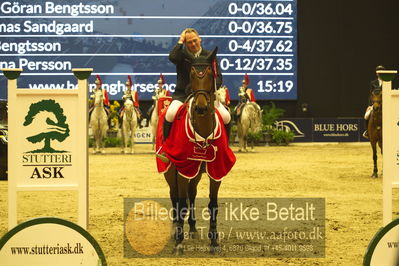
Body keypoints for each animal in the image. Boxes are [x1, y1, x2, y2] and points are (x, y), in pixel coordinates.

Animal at [162, 48, 225, 256]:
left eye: (211, 74)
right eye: (191, 74)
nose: (201, 107)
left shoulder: (216, 173)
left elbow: (213, 204)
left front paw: (214, 242)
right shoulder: (182, 171)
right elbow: (181, 203)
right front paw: (179, 243)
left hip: (196, 173)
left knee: (192, 193)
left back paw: (193, 228)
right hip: (170, 171)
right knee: (175, 196)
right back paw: (177, 229)